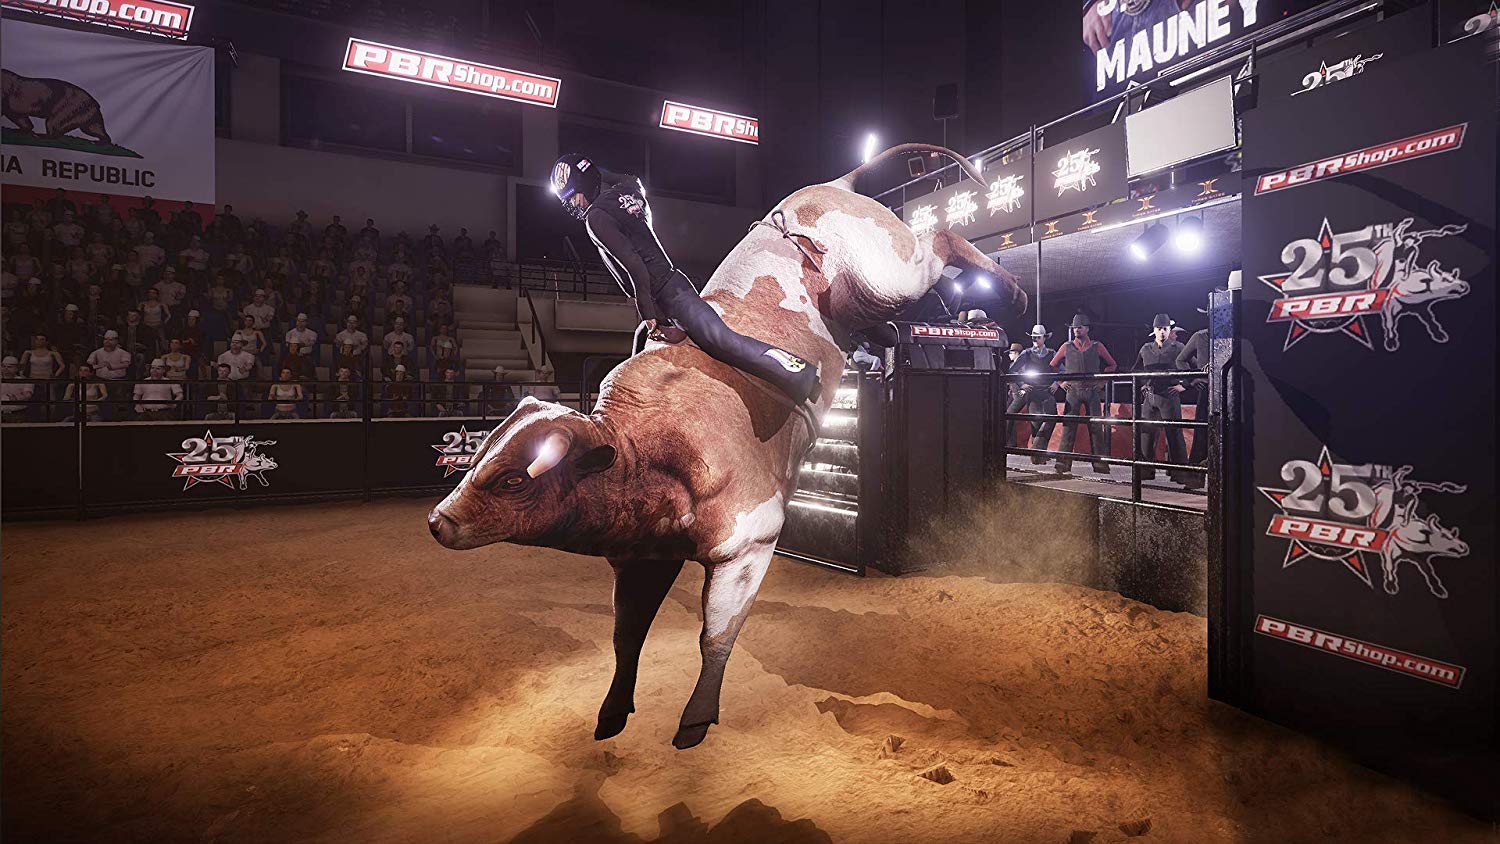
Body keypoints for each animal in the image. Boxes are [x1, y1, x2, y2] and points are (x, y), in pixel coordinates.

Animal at [429, 144, 1026, 749]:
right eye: (479, 458)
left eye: (514, 479)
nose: (438, 521)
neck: (643, 450)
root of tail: (832, 186)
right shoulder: (642, 557)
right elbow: (627, 638)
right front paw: (612, 713)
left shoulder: (748, 543)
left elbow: (715, 637)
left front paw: (694, 720)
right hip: (864, 304)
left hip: (884, 272)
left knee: (942, 237)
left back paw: (1011, 295)